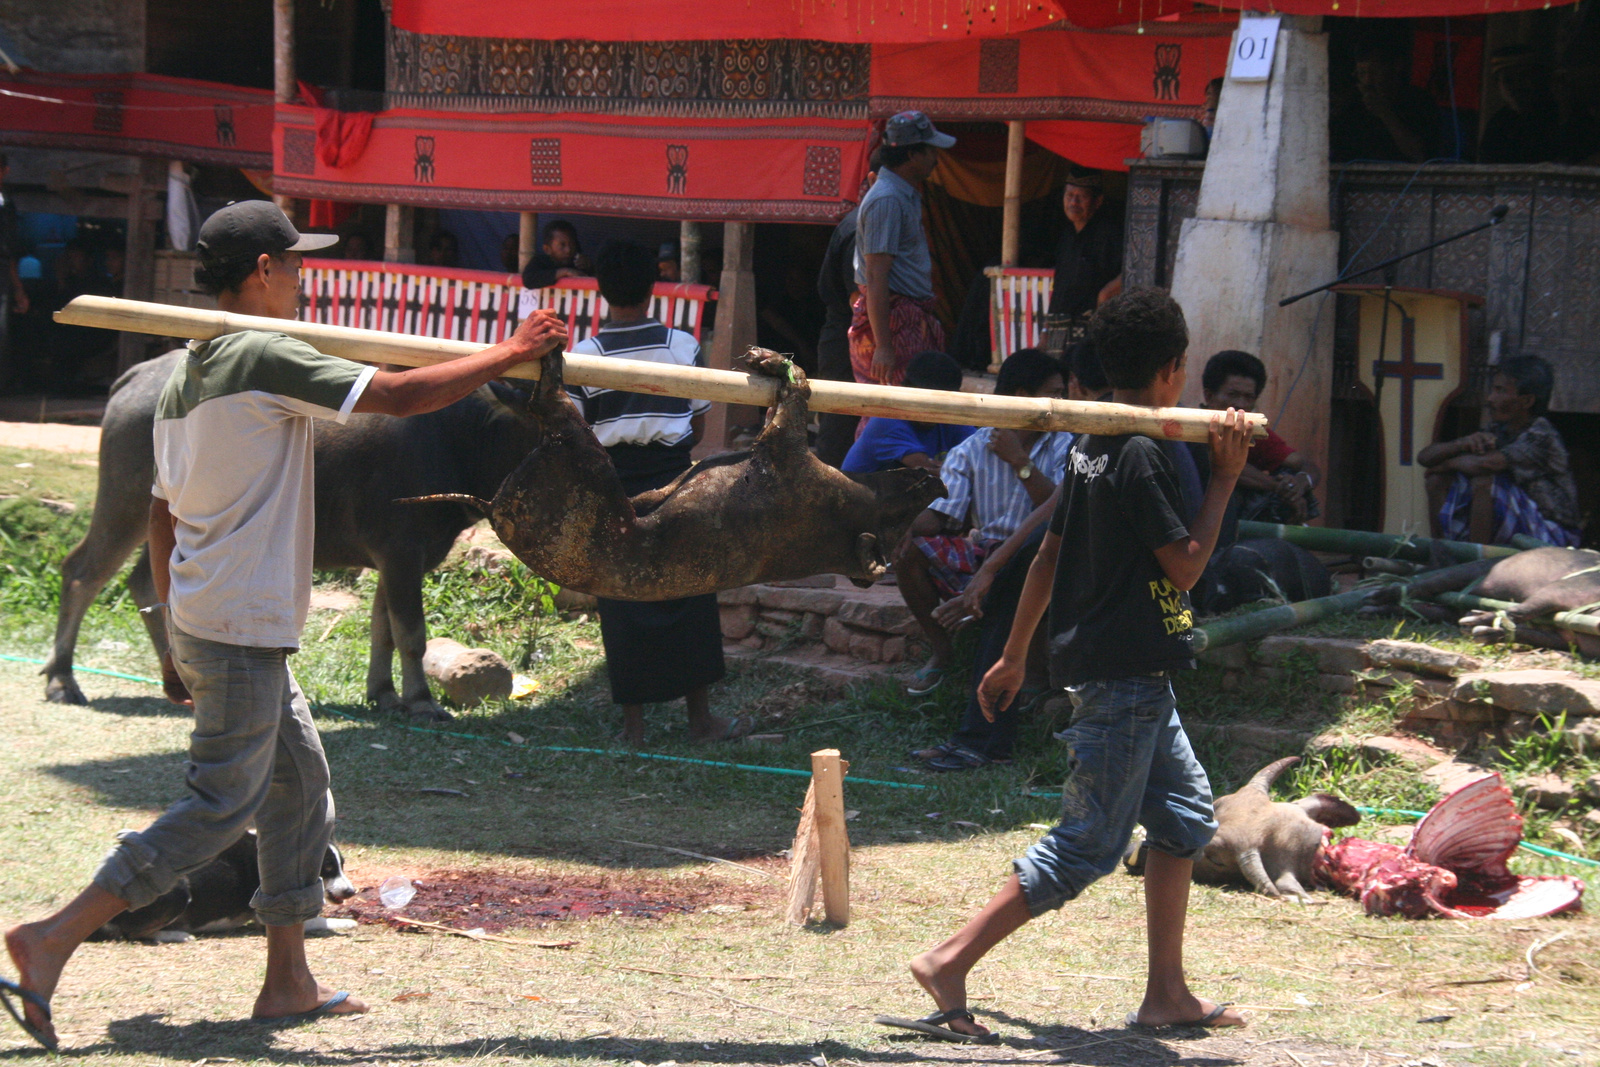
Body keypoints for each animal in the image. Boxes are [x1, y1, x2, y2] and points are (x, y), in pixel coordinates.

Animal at [43, 350, 544, 716]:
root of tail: (135, 376)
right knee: (83, 572)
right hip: (124, 501)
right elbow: (411, 633)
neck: (456, 437)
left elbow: (382, 627)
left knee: (147, 582)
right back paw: (62, 678)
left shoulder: (394, 559)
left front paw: (383, 693)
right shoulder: (401, 551)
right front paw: (421, 701)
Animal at [92, 831, 361, 940]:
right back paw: (177, 935)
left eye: (342, 865)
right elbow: (321, 921)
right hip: (178, 890)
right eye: (327, 868)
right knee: (133, 934)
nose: (351, 891)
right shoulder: (271, 916)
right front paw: (348, 922)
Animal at [425, 350, 947, 601]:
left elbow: (792, 406)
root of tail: (493, 508)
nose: (936, 481)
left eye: (895, 524)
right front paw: (760, 360)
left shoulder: (787, 457)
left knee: (549, 408)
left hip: (580, 470)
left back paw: (549, 361)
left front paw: (772, 361)